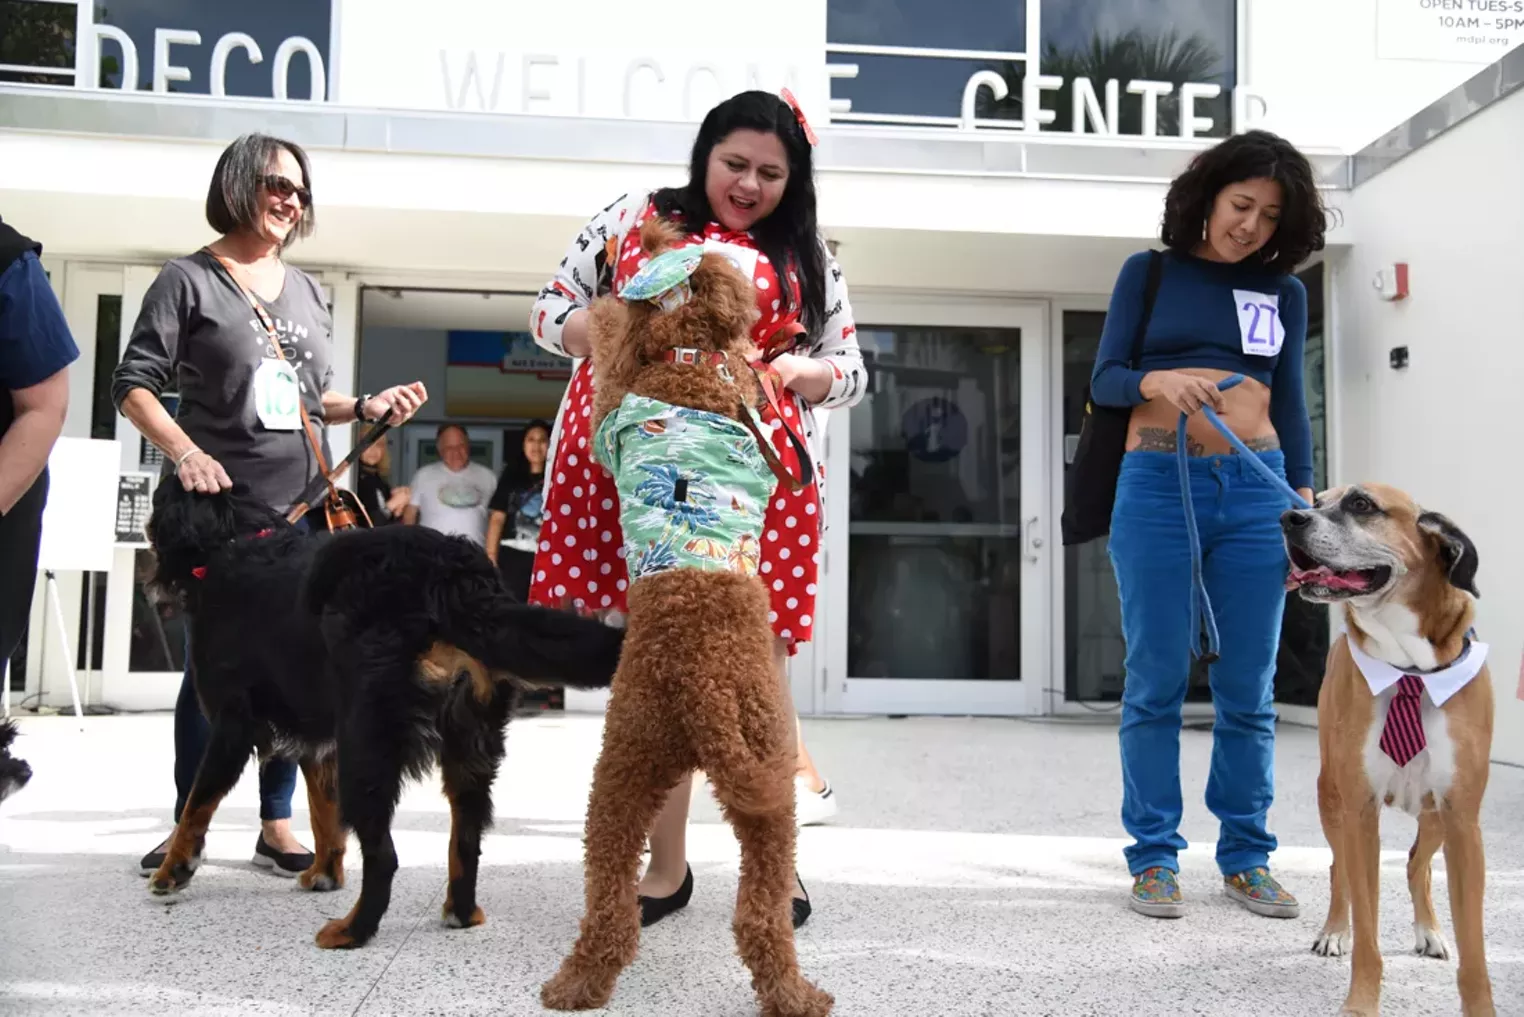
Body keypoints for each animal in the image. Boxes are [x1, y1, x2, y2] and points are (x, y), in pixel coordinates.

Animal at [143, 479, 626, 950]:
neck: (230, 539)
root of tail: (451, 574)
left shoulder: (233, 723)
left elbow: (197, 803)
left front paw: (174, 870)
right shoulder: (320, 737)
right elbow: (324, 816)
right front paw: (325, 873)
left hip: (367, 742)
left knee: (385, 855)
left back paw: (352, 931)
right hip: (466, 740)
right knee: (466, 837)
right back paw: (461, 912)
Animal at [1283, 483, 1494, 1017]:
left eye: (1362, 505)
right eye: (1318, 502)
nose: (1289, 517)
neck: (1409, 670)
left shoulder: (1463, 818)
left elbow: (1475, 952)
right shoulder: (1359, 812)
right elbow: (1367, 933)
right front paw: (1360, 1001)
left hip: (1436, 816)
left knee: (1419, 865)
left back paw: (1431, 931)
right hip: (1331, 798)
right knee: (1339, 870)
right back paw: (1334, 931)